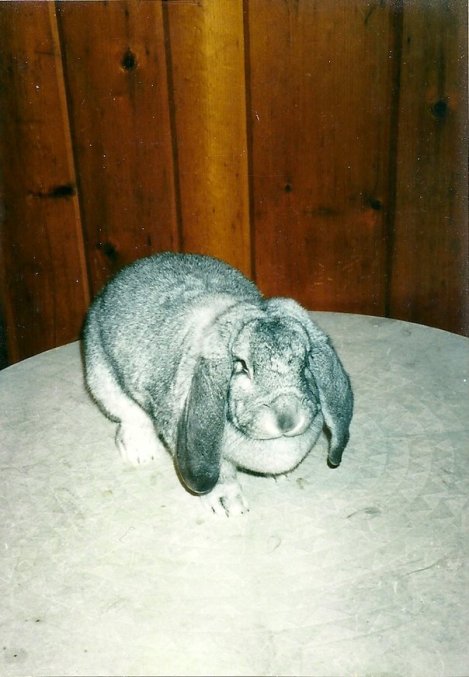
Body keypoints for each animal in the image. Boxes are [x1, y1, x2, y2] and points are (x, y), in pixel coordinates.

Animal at [82, 252, 353, 516]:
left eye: (306, 360)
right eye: (241, 365)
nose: (287, 418)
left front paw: (280, 476)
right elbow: (223, 476)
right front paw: (228, 506)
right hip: (104, 382)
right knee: (131, 418)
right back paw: (141, 453)